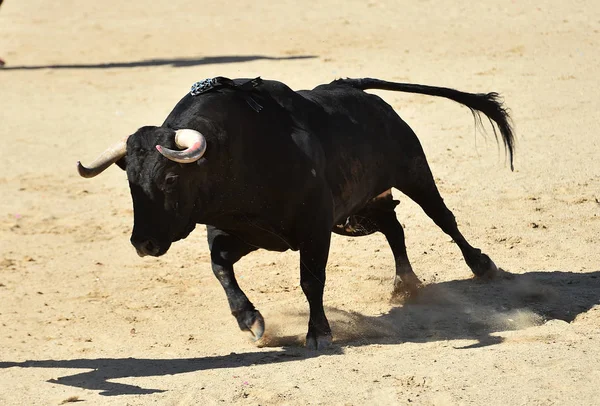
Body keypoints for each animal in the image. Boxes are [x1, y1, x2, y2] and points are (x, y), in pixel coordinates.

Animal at [77, 77, 512, 350]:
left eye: (169, 178)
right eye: (130, 180)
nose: (143, 243)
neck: (235, 154)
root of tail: (353, 87)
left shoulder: (315, 230)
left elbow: (311, 280)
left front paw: (318, 333)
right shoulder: (246, 233)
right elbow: (220, 267)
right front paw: (250, 321)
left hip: (413, 172)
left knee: (443, 218)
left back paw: (481, 265)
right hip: (362, 208)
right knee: (394, 228)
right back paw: (406, 285)